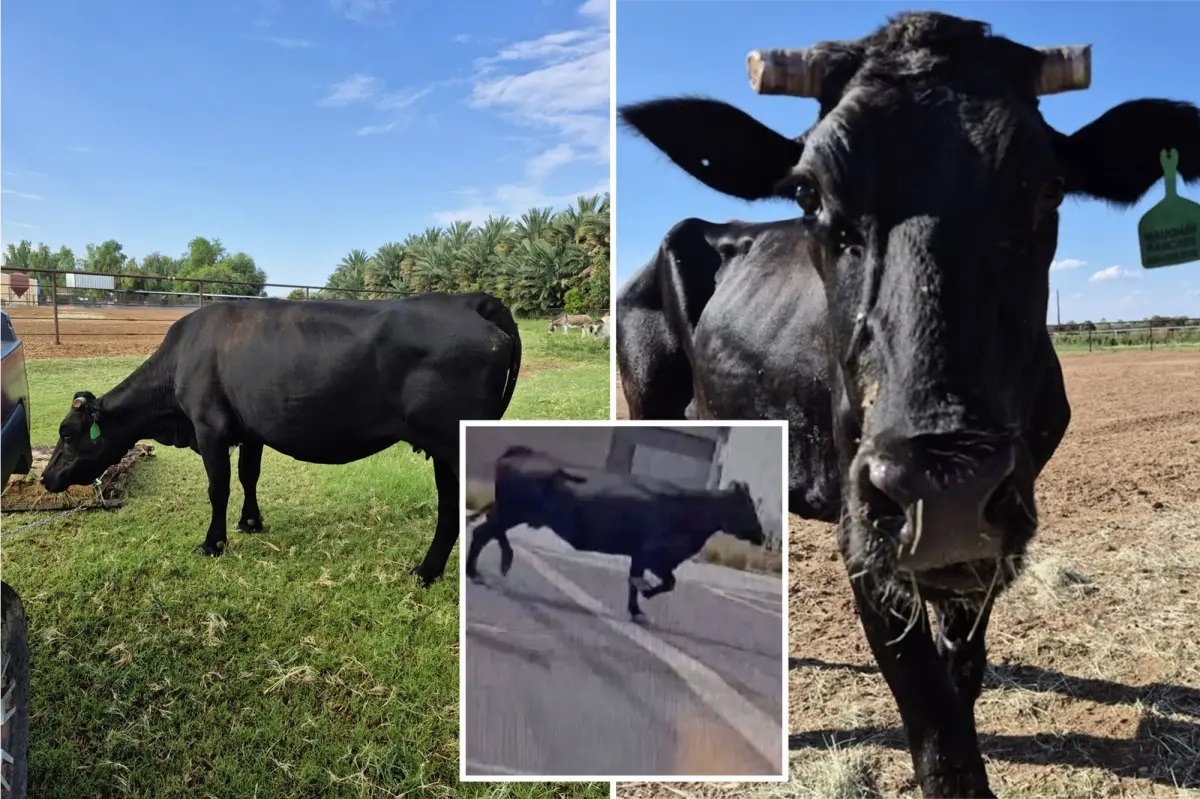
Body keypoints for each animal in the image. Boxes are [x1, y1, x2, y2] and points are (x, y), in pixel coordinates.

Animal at [40, 292, 522, 587]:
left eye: (67, 433)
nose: (45, 478)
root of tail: (471, 301)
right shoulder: (249, 429)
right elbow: (248, 476)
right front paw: (250, 522)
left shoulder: (210, 427)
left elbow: (218, 487)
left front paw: (212, 543)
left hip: (450, 443)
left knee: (453, 505)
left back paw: (426, 571)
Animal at [464, 445, 766, 620]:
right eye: (748, 506)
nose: (762, 536)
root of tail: (522, 452)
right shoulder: (654, 555)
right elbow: (666, 582)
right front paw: (644, 596)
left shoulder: (640, 555)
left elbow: (641, 581)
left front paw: (636, 608)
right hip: (513, 511)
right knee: (483, 532)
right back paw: (484, 568)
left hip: (512, 512)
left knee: (486, 530)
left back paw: (496, 563)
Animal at [616, 11, 1200, 798]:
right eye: (809, 194)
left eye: (1048, 188)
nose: (942, 490)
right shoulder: (862, 523)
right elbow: (931, 712)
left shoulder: (995, 529)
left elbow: (963, 664)